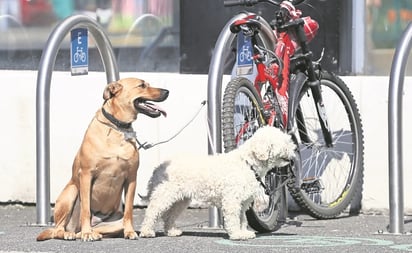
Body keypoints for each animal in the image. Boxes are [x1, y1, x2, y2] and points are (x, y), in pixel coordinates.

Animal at [36, 77, 169, 241]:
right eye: (142, 85)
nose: (167, 91)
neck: (117, 128)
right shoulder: (86, 175)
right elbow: (86, 209)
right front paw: (87, 233)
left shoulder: (131, 178)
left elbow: (129, 210)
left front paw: (130, 231)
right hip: (71, 192)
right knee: (58, 229)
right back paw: (74, 233)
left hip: (114, 222)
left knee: (97, 228)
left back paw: (93, 233)